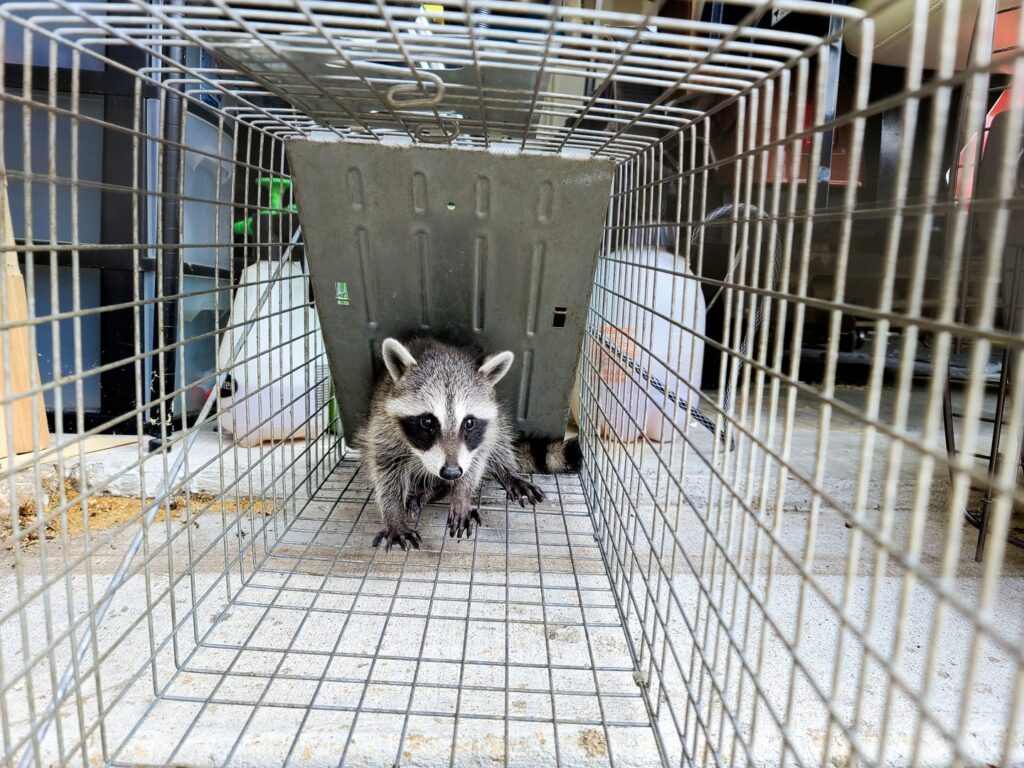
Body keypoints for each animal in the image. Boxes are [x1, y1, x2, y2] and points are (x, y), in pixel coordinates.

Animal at [360, 336, 580, 551]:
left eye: (469, 423)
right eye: (427, 421)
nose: (451, 473)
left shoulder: (483, 431)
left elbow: (478, 458)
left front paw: (461, 493)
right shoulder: (383, 422)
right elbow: (386, 467)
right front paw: (394, 515)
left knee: (500, 439)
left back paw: (498, 473)